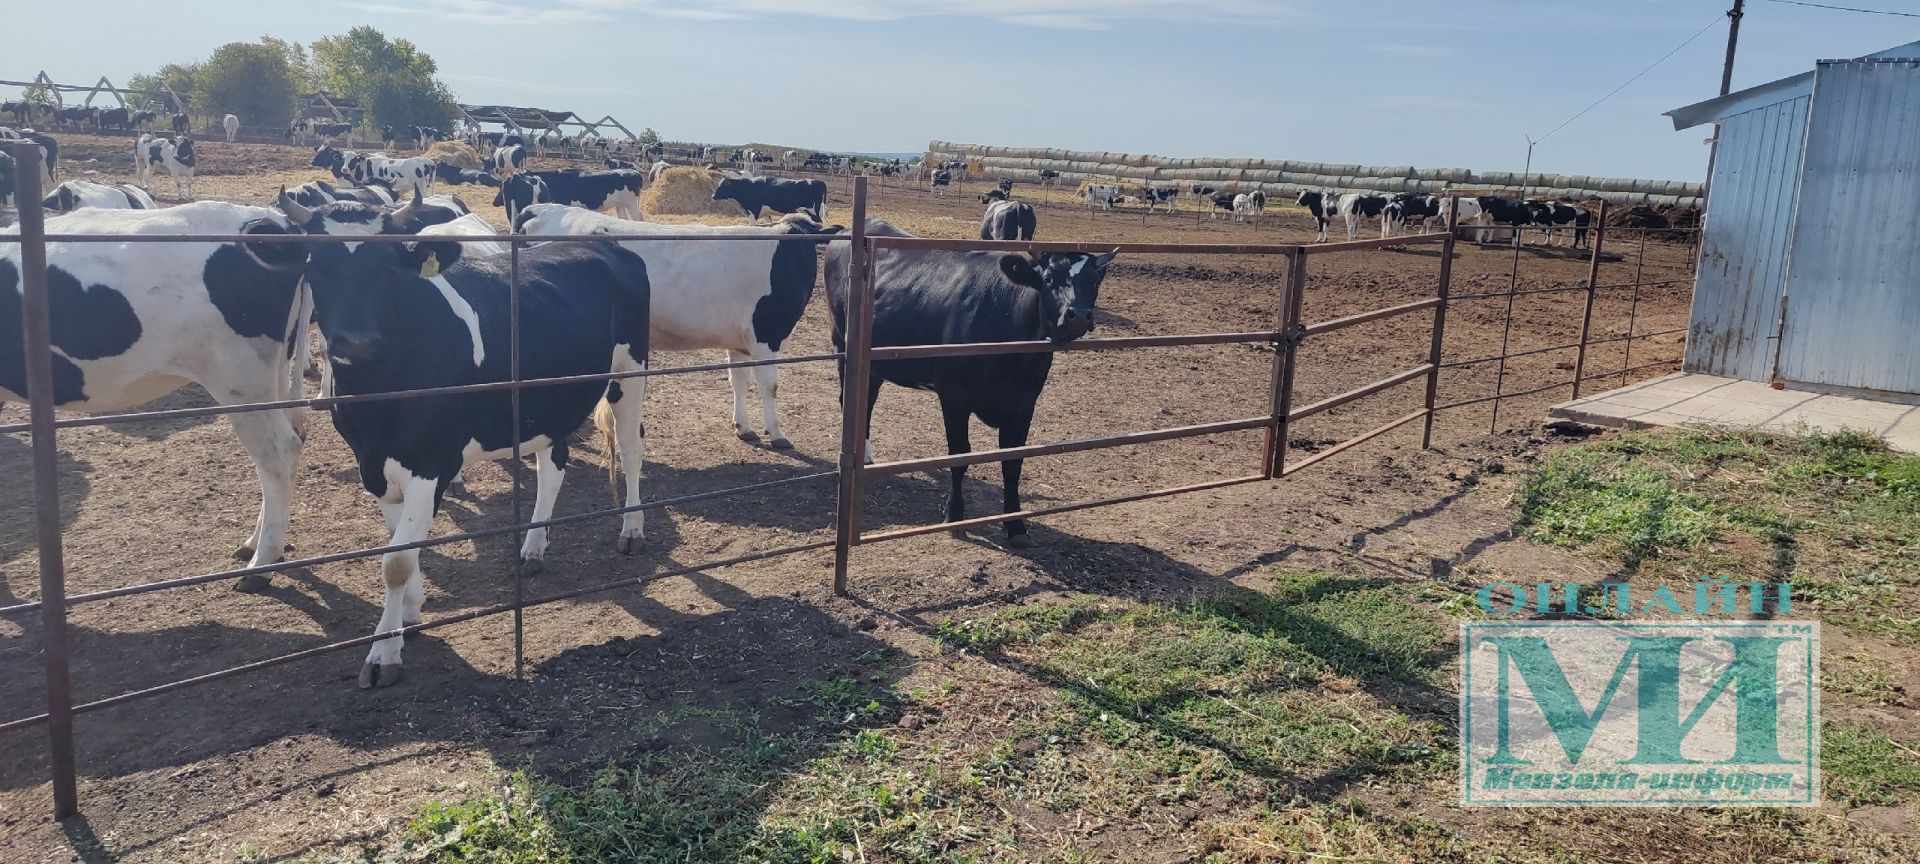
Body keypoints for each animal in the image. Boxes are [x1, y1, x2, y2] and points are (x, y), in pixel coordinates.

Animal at [2, 202, 311, 572]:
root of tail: (270, 221)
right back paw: (254, 543)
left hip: (238, 378)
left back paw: (262, 563)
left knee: (278, 451)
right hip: (273, 372)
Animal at [274, 191, 656, 687]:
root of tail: (604, 245)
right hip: (547, 401)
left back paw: (632, 530)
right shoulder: (371, 463)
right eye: (314, 262)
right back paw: (533, 547)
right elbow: (398, 544)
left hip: (629, 373)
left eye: (387, 265)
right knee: (552, 466)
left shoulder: (432, 462)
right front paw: (409, 614)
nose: (354, 341)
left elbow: (395, 561)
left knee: (631, 450)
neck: (377, 398)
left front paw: (384, 653)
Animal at [518, 201, 840, 445]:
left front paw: (744, 427)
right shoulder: (766, 334)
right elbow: (769, 386)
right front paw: (777, 433)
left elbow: (739, 382)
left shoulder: (739, 340)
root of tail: (539, 209)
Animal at [821, 220, 1121, 545]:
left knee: (867, 400)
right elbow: (960, 455)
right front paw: (954, 515)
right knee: (849, 400)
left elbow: (1013, 461)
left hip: (875, 363)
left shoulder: (1024, 401)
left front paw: (1015, 525)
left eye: (1094, 281)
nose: (1078, 315)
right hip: (842, 343)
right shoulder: (954, 395)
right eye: (1049, 278)